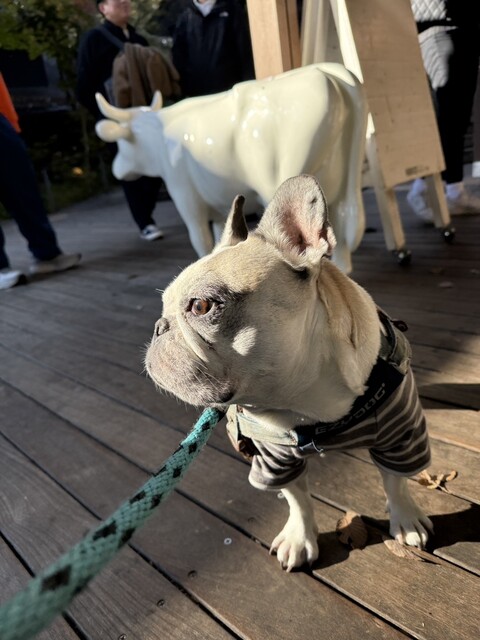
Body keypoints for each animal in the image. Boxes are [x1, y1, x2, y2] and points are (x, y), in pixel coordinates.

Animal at [145, 175, 433, 571]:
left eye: (201, 306)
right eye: (163, 308)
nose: (159, 326)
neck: (305, 400)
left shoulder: (400, 435)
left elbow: (395, 480)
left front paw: (405, 518)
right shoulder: (273, 459)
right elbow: (297, 496)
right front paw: (299, 537)